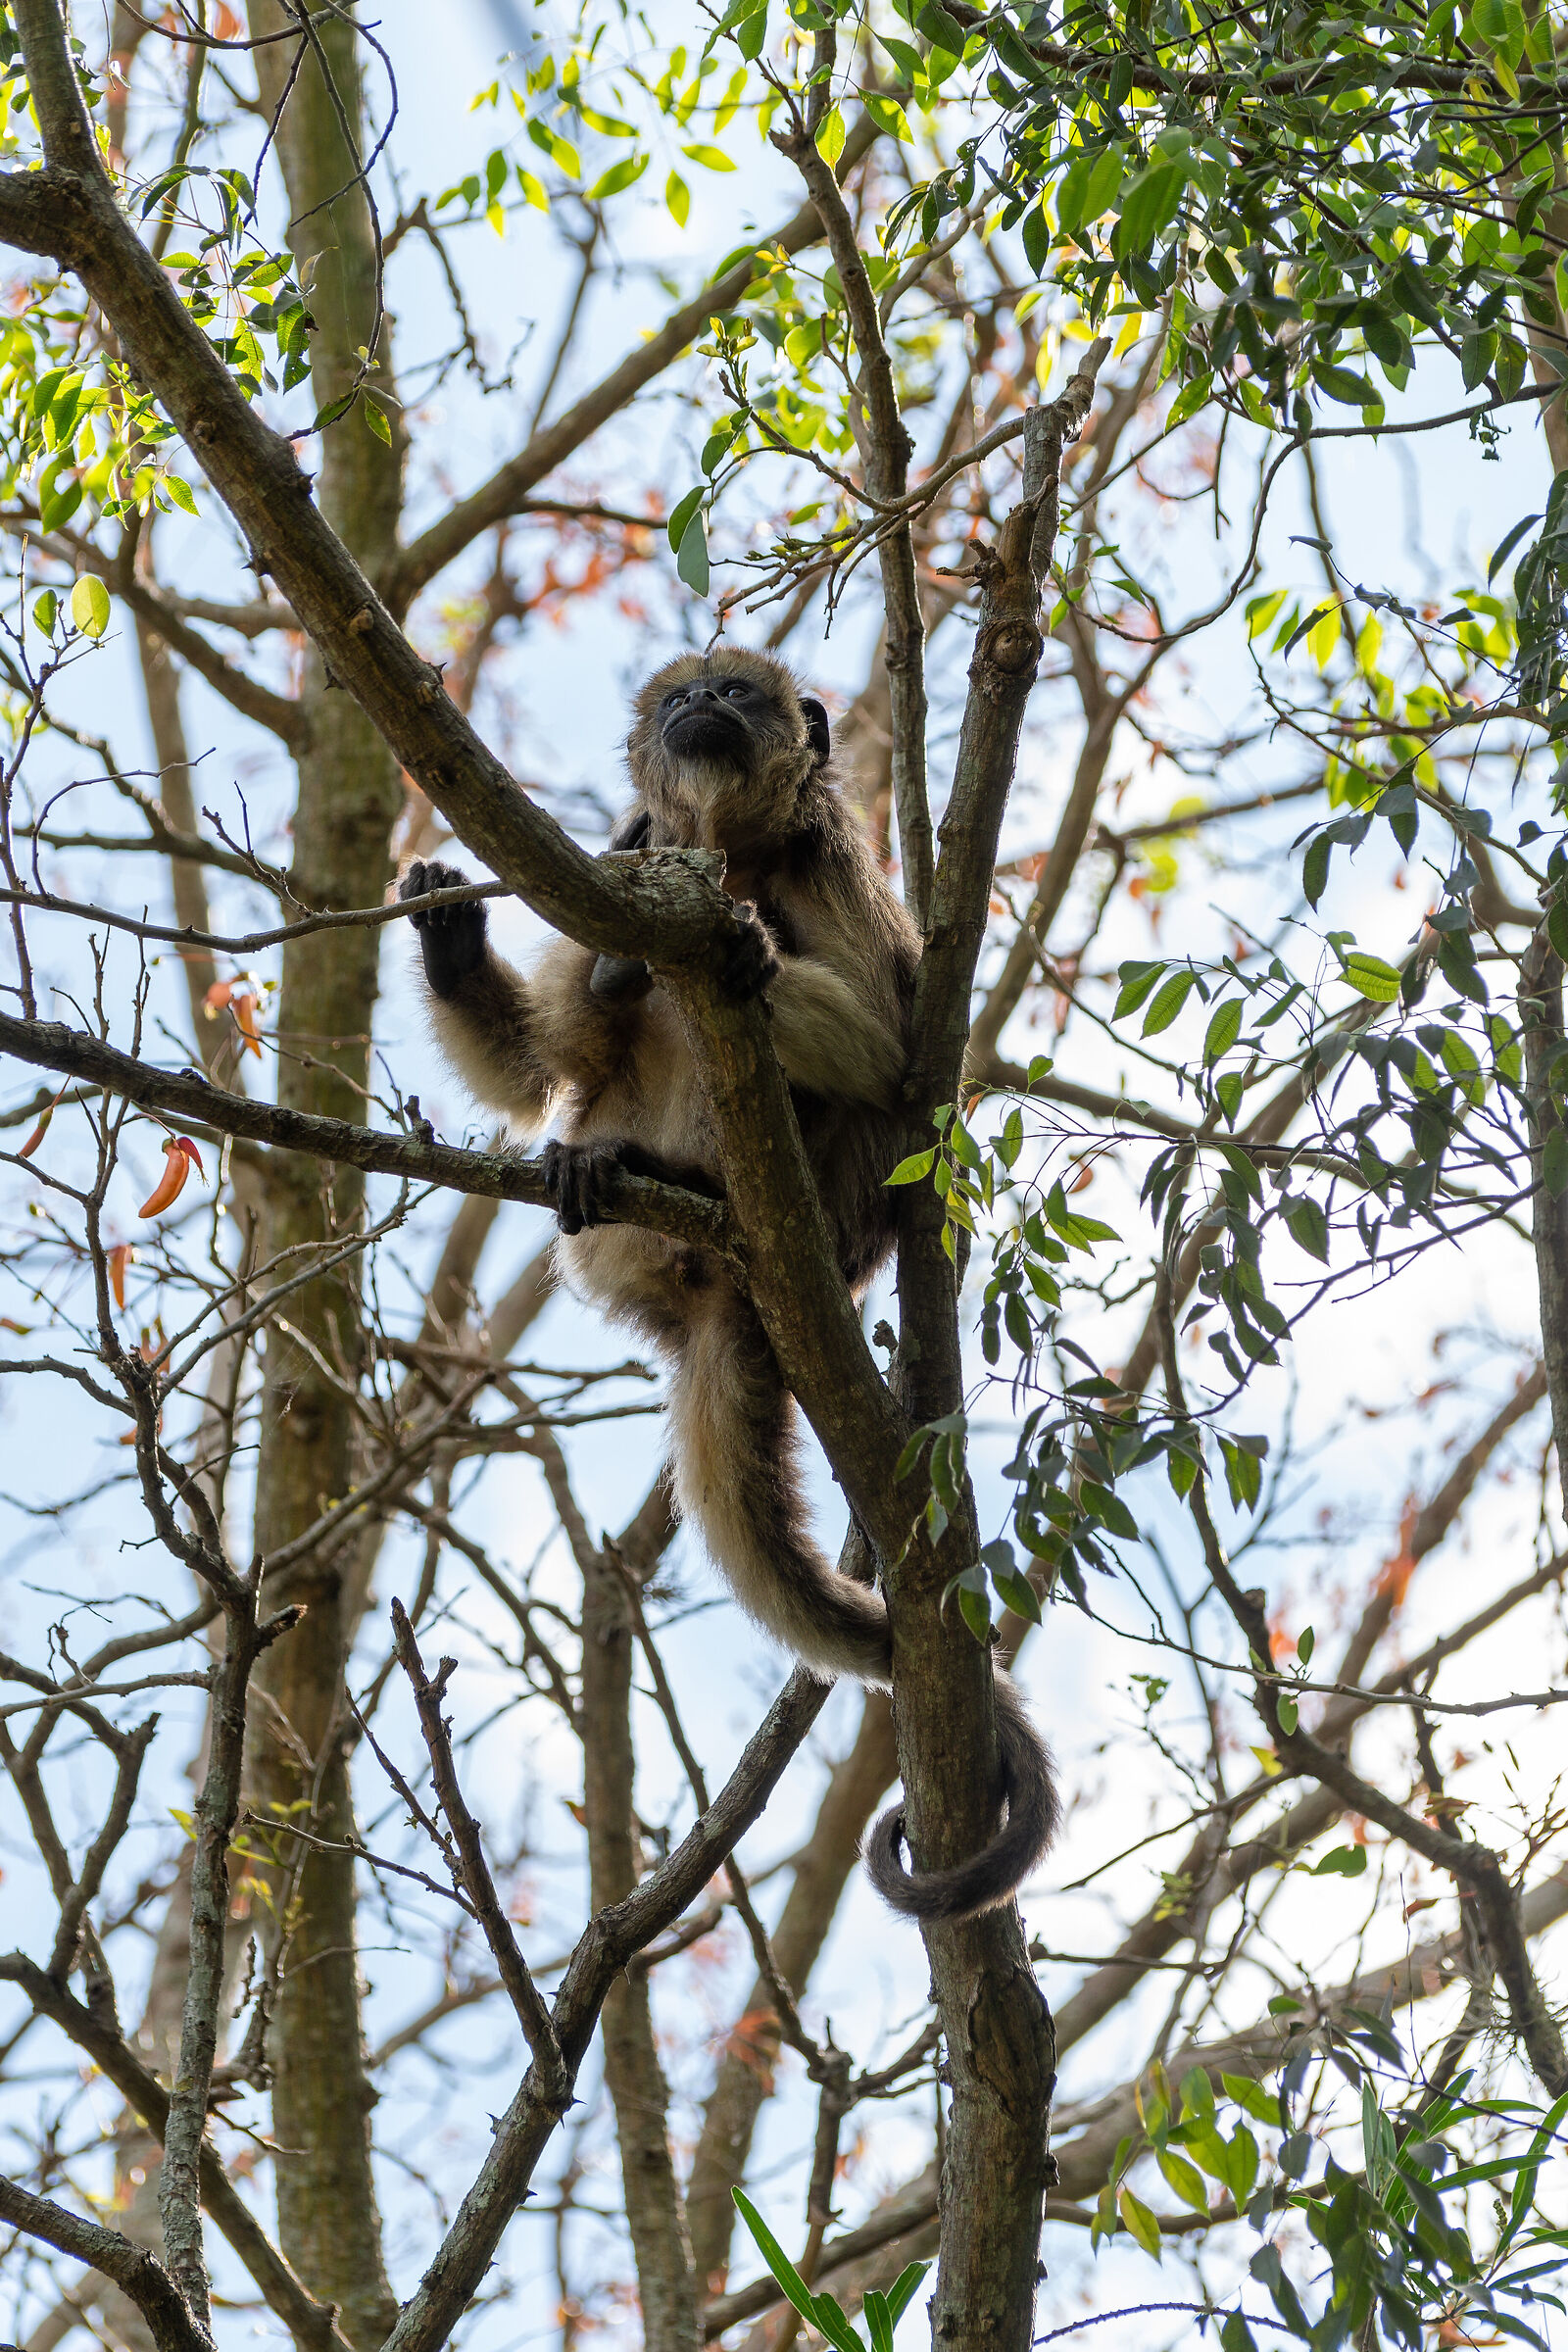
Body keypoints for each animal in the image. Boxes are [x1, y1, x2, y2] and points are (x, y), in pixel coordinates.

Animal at [399, 647, 1058, 1922]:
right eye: (676, 702)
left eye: (735, 695)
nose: (700, 705)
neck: (730, 853)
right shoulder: (625, 853)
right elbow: (539, 1069)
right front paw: (464, 943)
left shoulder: (827, 860)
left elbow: (888, 1054)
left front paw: (746, 951)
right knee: (591, 1042)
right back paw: (609, 1116)